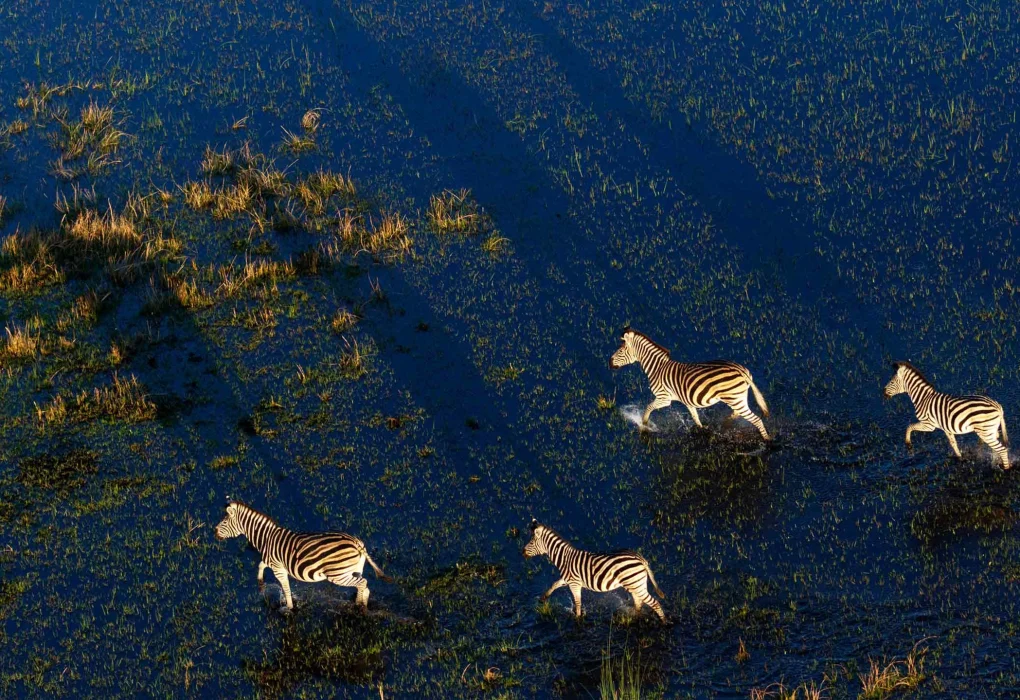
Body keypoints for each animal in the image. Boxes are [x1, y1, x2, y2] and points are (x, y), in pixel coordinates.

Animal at [213, 502, 391, 612]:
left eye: (224, 522)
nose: (214, 532)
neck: (267, 538)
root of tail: (356, 542)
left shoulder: (279, 569)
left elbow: (285, 588)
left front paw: (289, 607)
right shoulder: (271, 561)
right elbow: (261, 565)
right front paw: (260, 583)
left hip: (337, 574)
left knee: (363, 583)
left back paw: (359, 606)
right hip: (354, 569)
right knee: (364, 586)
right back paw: (361, 604)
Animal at [522, 520, 665, 624]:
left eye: (531, 542)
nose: (522, 552)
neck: (565, 559)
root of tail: (639, 557)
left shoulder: (574, 584)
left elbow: (578, 603)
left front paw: (578, 618)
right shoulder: (568, 580)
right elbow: (554, 584)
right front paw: (543, 599)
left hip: (635, 584)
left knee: (655, 603)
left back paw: (664, 623)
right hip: (636, 584)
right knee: (639, 602)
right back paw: (636, 617)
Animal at [607, 328, 767, 438]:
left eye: (621, 351)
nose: (609, 363)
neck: (657, 368)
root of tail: (741, 370)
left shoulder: (664, 398)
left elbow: (648, 408)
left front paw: (644, 426)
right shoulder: (687, 401)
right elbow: (695, 418)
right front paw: (704, 430)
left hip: (734, 398)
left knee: (756, 420)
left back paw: (767, 441)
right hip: (738, 397)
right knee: (738, 413)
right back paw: (724, 424)